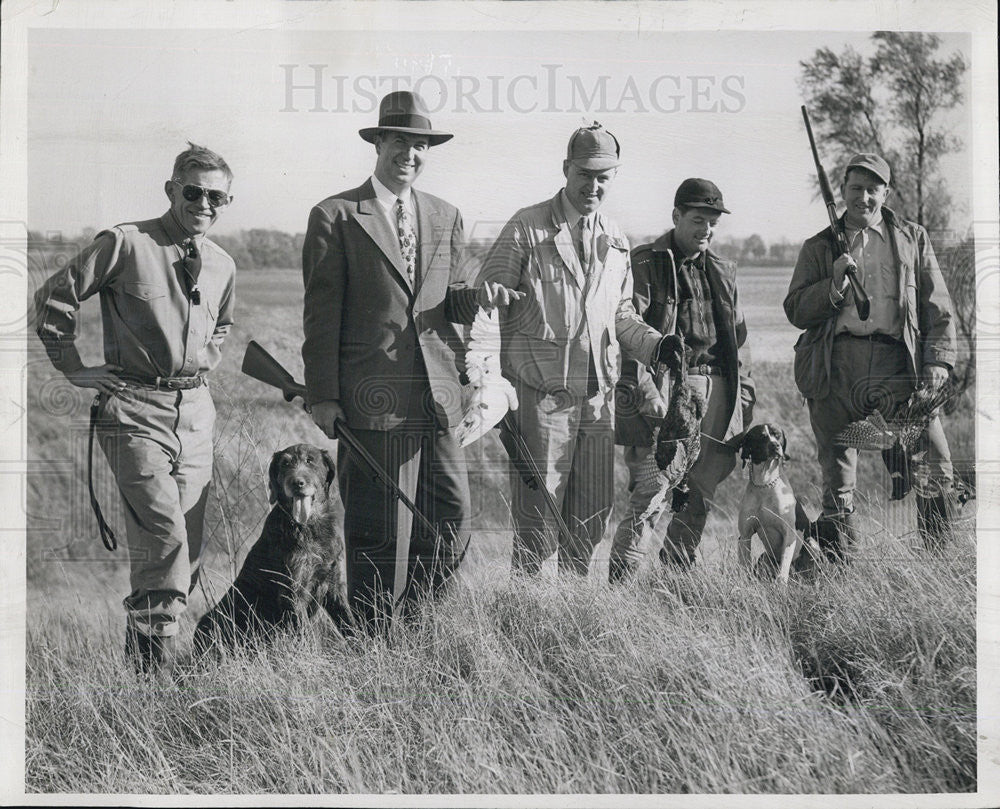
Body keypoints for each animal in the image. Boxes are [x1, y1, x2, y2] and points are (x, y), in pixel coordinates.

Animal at [193, 442, 354, 652]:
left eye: (310, 460)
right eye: (285, 464)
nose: (296, 483)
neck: (309, 527)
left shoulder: (333, 584)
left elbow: (349, 623)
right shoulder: (292, 592)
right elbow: (306, 635)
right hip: (213, 622)